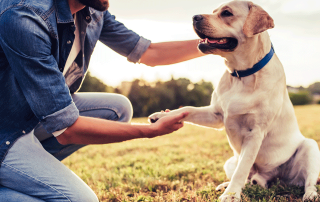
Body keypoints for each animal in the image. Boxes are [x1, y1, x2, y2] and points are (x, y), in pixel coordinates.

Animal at [149, 0, 320, 201]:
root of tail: (270, 179)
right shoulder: (216, 114)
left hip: (310, 147)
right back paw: (227, 184)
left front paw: (230, 195)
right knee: (248, 179)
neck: (241, 75)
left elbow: (242, 169)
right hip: (230, 161)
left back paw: (310, 194)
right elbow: (188, 109)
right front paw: (162, 116)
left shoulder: (255, 132)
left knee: (308, 182)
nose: (194, 17)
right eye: (214, 11)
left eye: (227, 13)